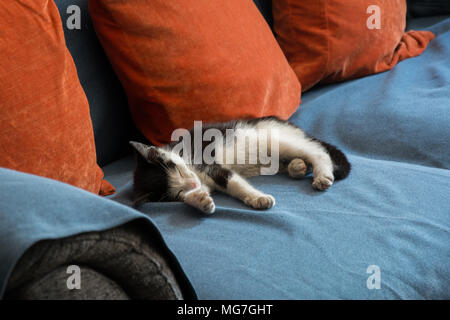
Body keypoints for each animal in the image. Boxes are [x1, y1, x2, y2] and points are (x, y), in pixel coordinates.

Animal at [128, 116, 350, 214]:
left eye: (179, 171)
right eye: (177, 193)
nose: (192, 184)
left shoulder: (207, 164)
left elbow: (233, 182)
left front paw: (258, 199)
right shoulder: (201, 180)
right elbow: (199, 192)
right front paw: (200, 201)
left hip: (275, 138)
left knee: (317, 151)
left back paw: (321, 175)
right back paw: (297, 167)